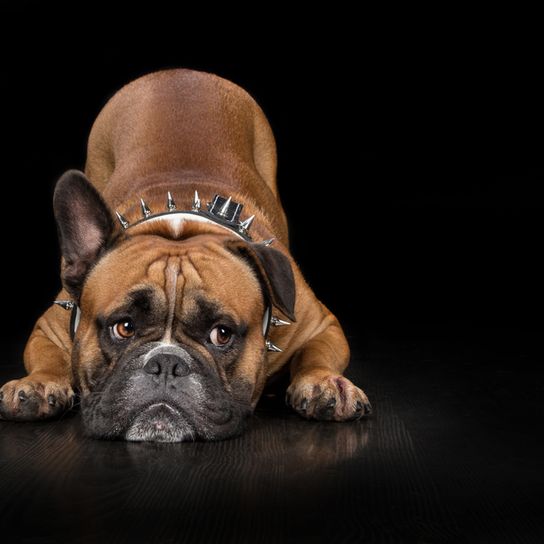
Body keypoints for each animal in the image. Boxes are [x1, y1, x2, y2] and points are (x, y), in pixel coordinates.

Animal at [0, 69, 370, 442]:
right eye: (124, 327)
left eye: (222, 334)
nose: (166, 363)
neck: (180, 228)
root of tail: (179, 73)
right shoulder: (50, 327)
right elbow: (49, 357)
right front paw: (38, 384)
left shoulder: (318, 325)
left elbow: (316, 353)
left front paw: (324, 384)